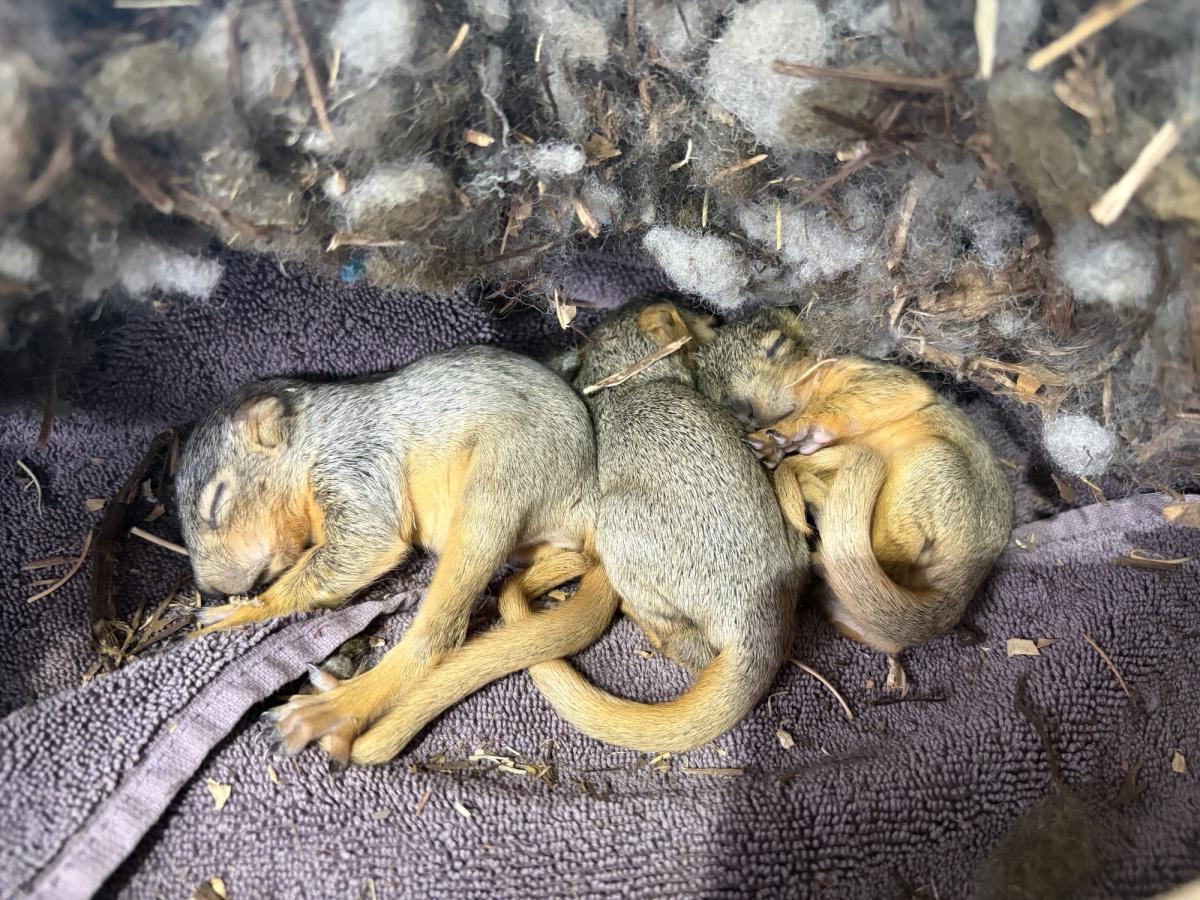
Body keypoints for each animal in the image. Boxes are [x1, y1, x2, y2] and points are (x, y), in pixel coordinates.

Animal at [175, 346, 617, 762]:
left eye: (217, 501)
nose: (210, 590)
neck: (314, 437)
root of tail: (585, 505)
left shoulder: (355, 465)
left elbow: (364, 543)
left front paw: (238, 612)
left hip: (502, 481)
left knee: (438, 637)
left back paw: (329, 710)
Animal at [690, 308, 1014, 689]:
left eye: (777, 346)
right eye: (706, 385)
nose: (741, 409)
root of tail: (962, 588)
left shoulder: (871, 374)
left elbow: (885, 390)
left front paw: (793, 432)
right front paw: (775, 446)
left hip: (933, 464)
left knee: (885, 551)